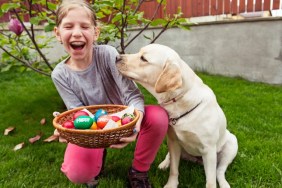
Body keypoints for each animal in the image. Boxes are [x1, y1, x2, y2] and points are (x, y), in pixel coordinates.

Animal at [116, 44, 238, 188]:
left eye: (143, 58)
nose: (117, 57)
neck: (179, 101)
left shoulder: (209, 150)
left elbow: (211, 181)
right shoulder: (173, 141)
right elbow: (174, 169)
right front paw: (171, 184)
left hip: (231, 143)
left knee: (220, 171)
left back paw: (224, 183)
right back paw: (164, 164)